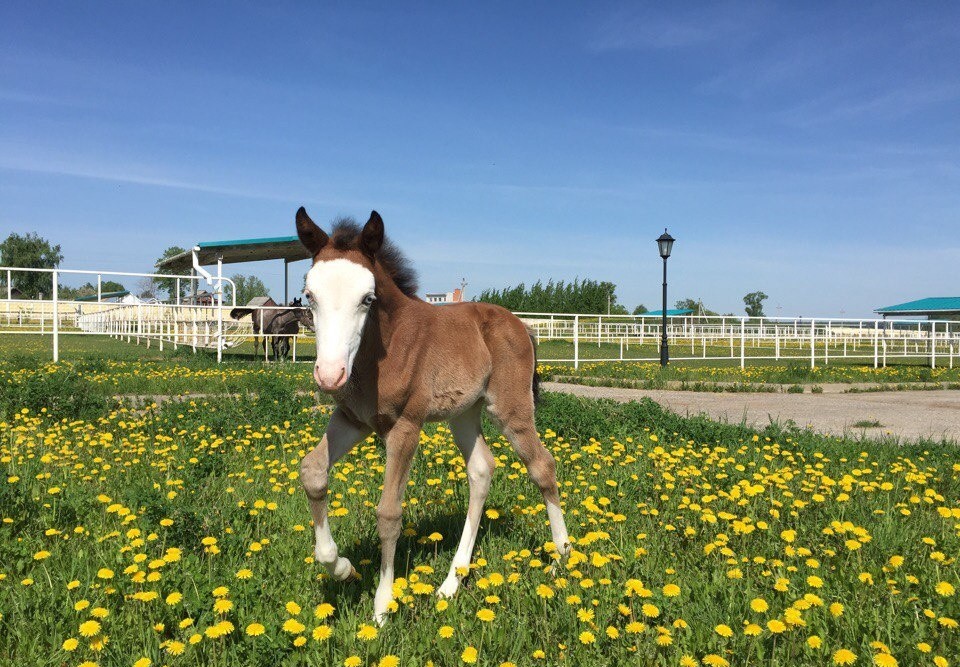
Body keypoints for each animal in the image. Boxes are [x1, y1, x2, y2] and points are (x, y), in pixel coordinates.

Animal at [296, 209, 568, 628]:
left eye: (367, 299)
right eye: (310, 296)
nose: (329, 375)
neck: (382, 348)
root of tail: (521, 325)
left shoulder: (405, 427)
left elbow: (389, 512)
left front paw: (382, 607)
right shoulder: (353, 419)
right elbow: (311, 471)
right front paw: (342, 567)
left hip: (511, 409)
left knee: (542, 466)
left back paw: (561, 558)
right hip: (464, 413)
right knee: (481, 469)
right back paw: (451, 582)